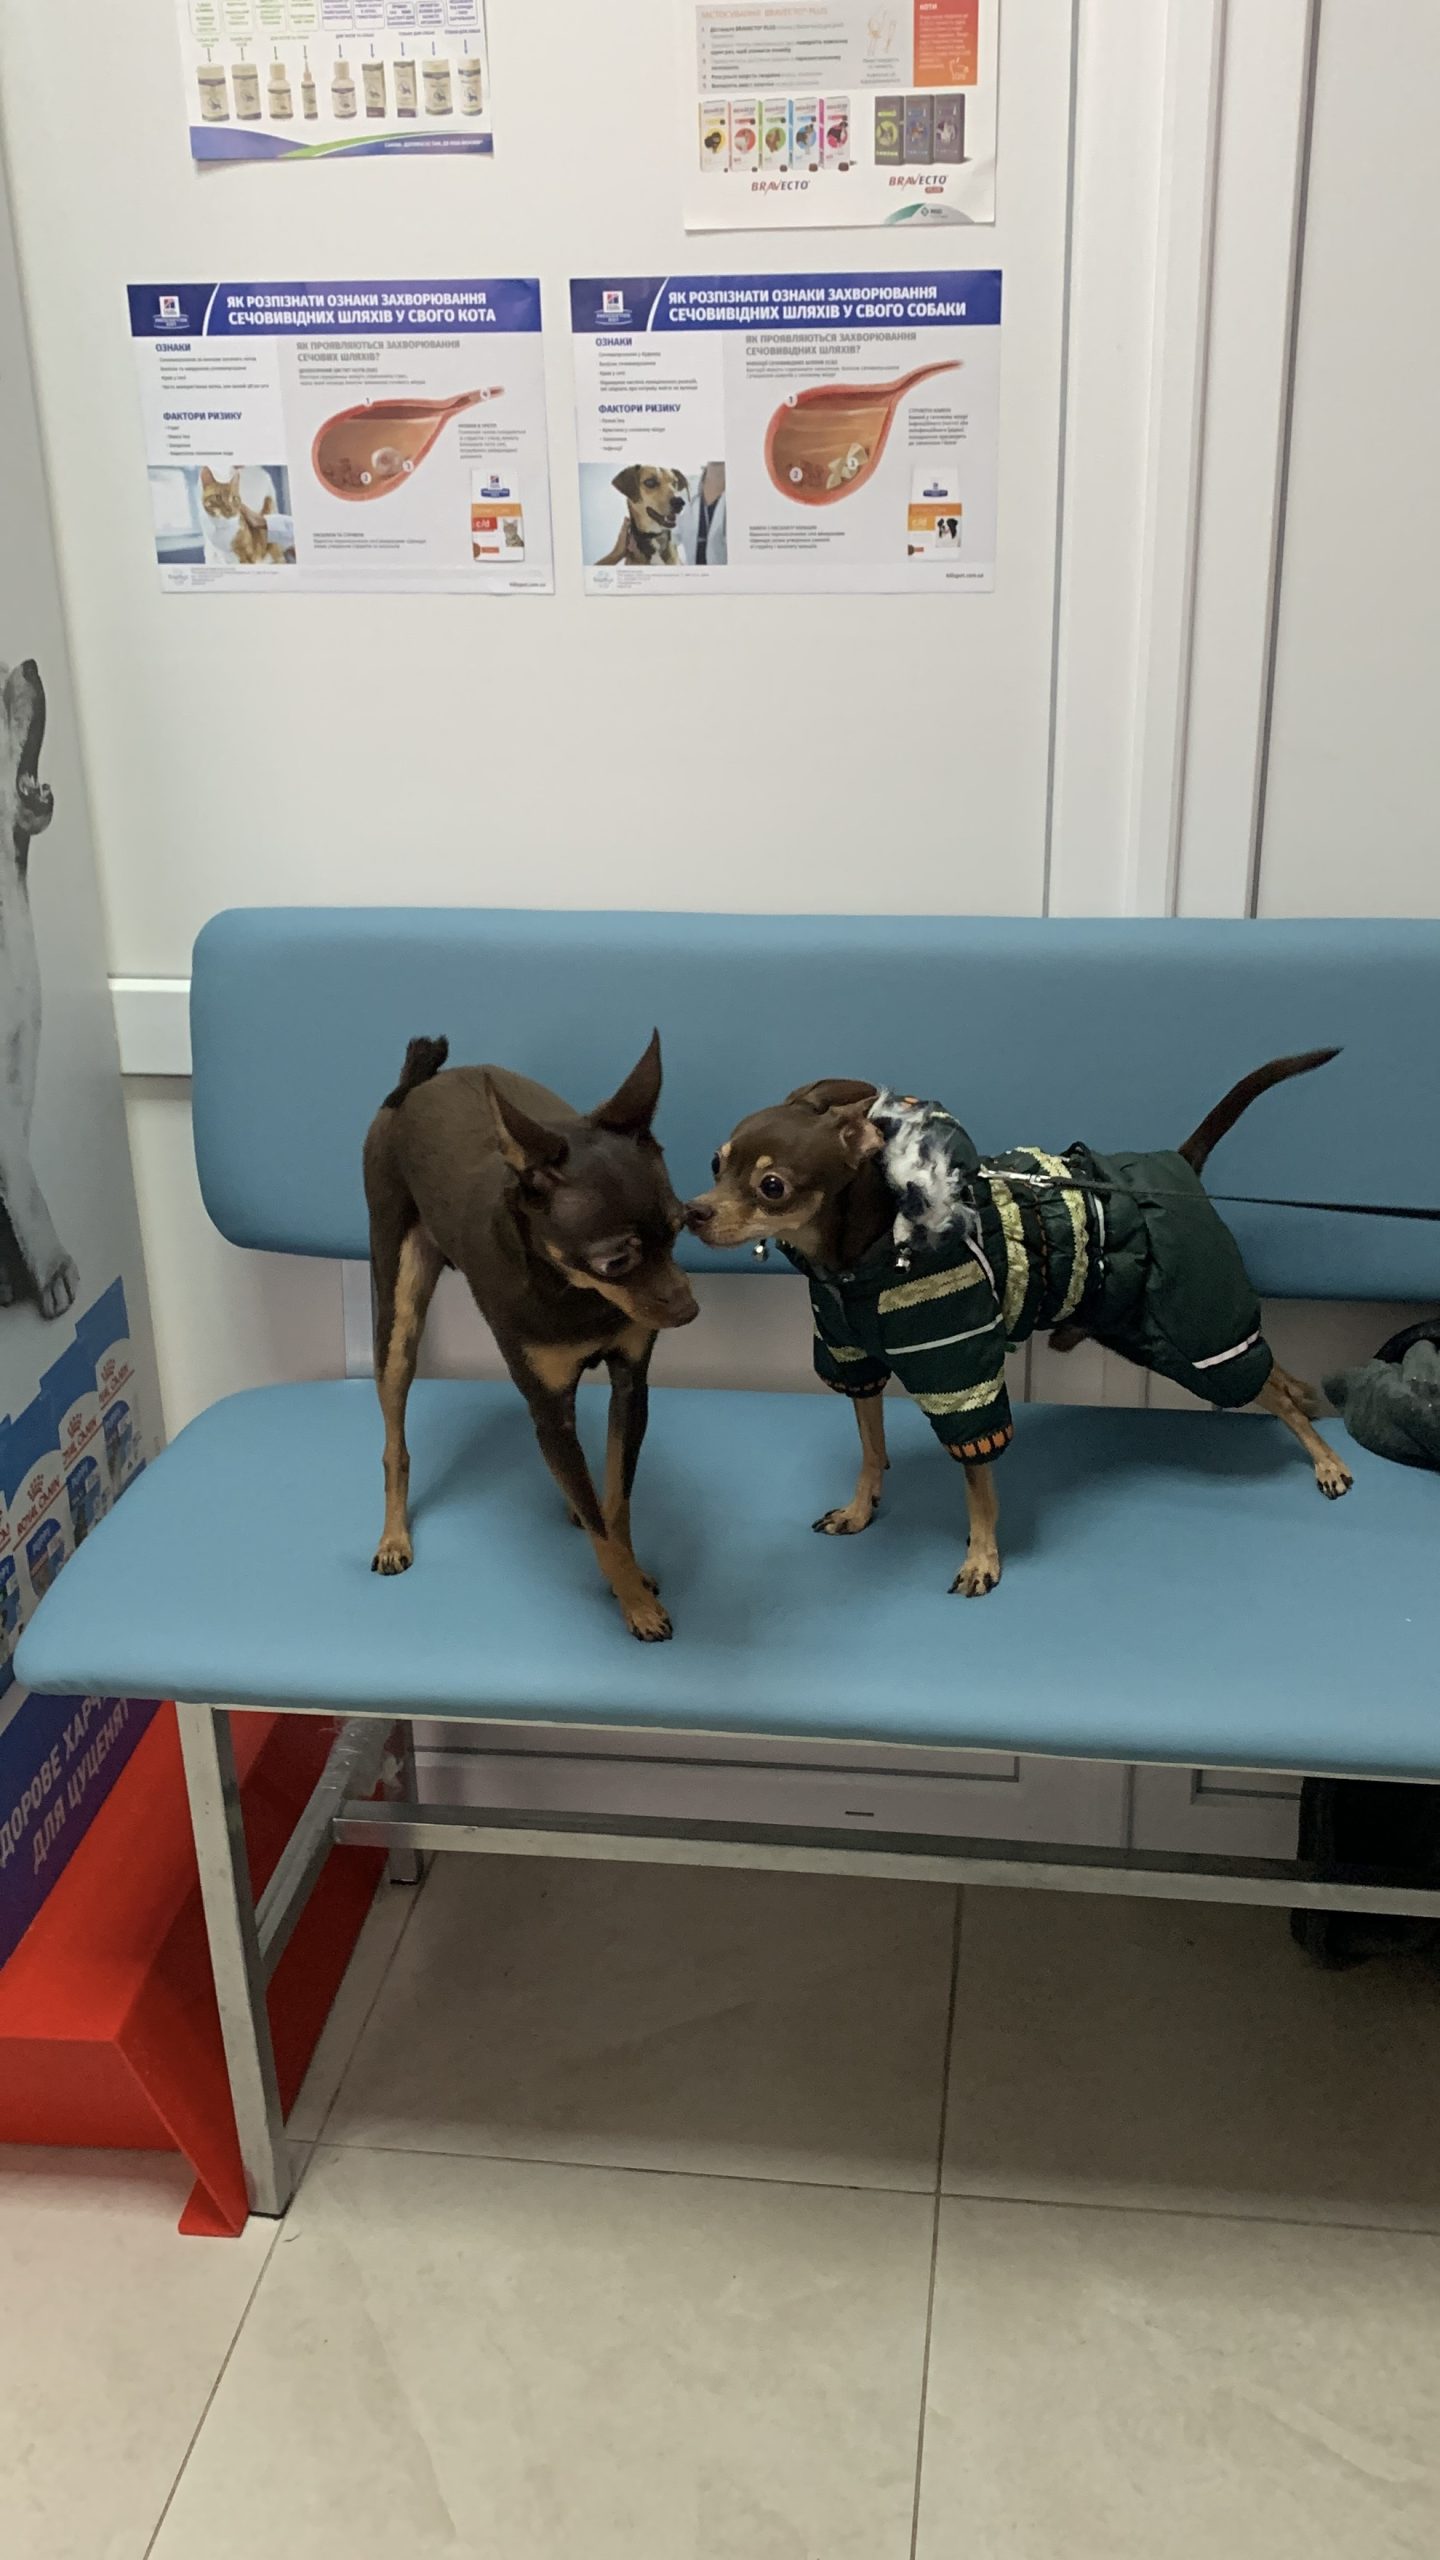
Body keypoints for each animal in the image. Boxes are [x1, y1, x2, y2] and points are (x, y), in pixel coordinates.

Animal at [364, 1031, 698, 1639]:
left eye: (680, 1226)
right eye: (616, 1262)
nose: (689, 1309)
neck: (575, 1292)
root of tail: (417, 1083)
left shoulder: (630, 1386)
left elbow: (616, 1503)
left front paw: (632, 1572)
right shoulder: (548, 1408)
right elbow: (603, 1527)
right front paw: (634, 1602)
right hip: (396, 1315)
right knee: (394, 1443)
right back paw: (394, 1537)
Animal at [687, 1053, 1350, 1599]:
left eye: (772, 1186)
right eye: (716, 1164)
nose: (692, 1212)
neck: (859, 1261)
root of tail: (1180, 1162)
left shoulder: (959, 1374)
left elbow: (977, 1481)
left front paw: (982, 1558)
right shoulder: (855, 1360)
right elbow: (871, 1448)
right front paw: (860, 1509)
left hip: (1195, 1334)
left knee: (1264, 1386)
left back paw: (1326, 1461)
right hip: (1142, 1330)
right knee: (1274, 1375)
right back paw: (1306, 1401)